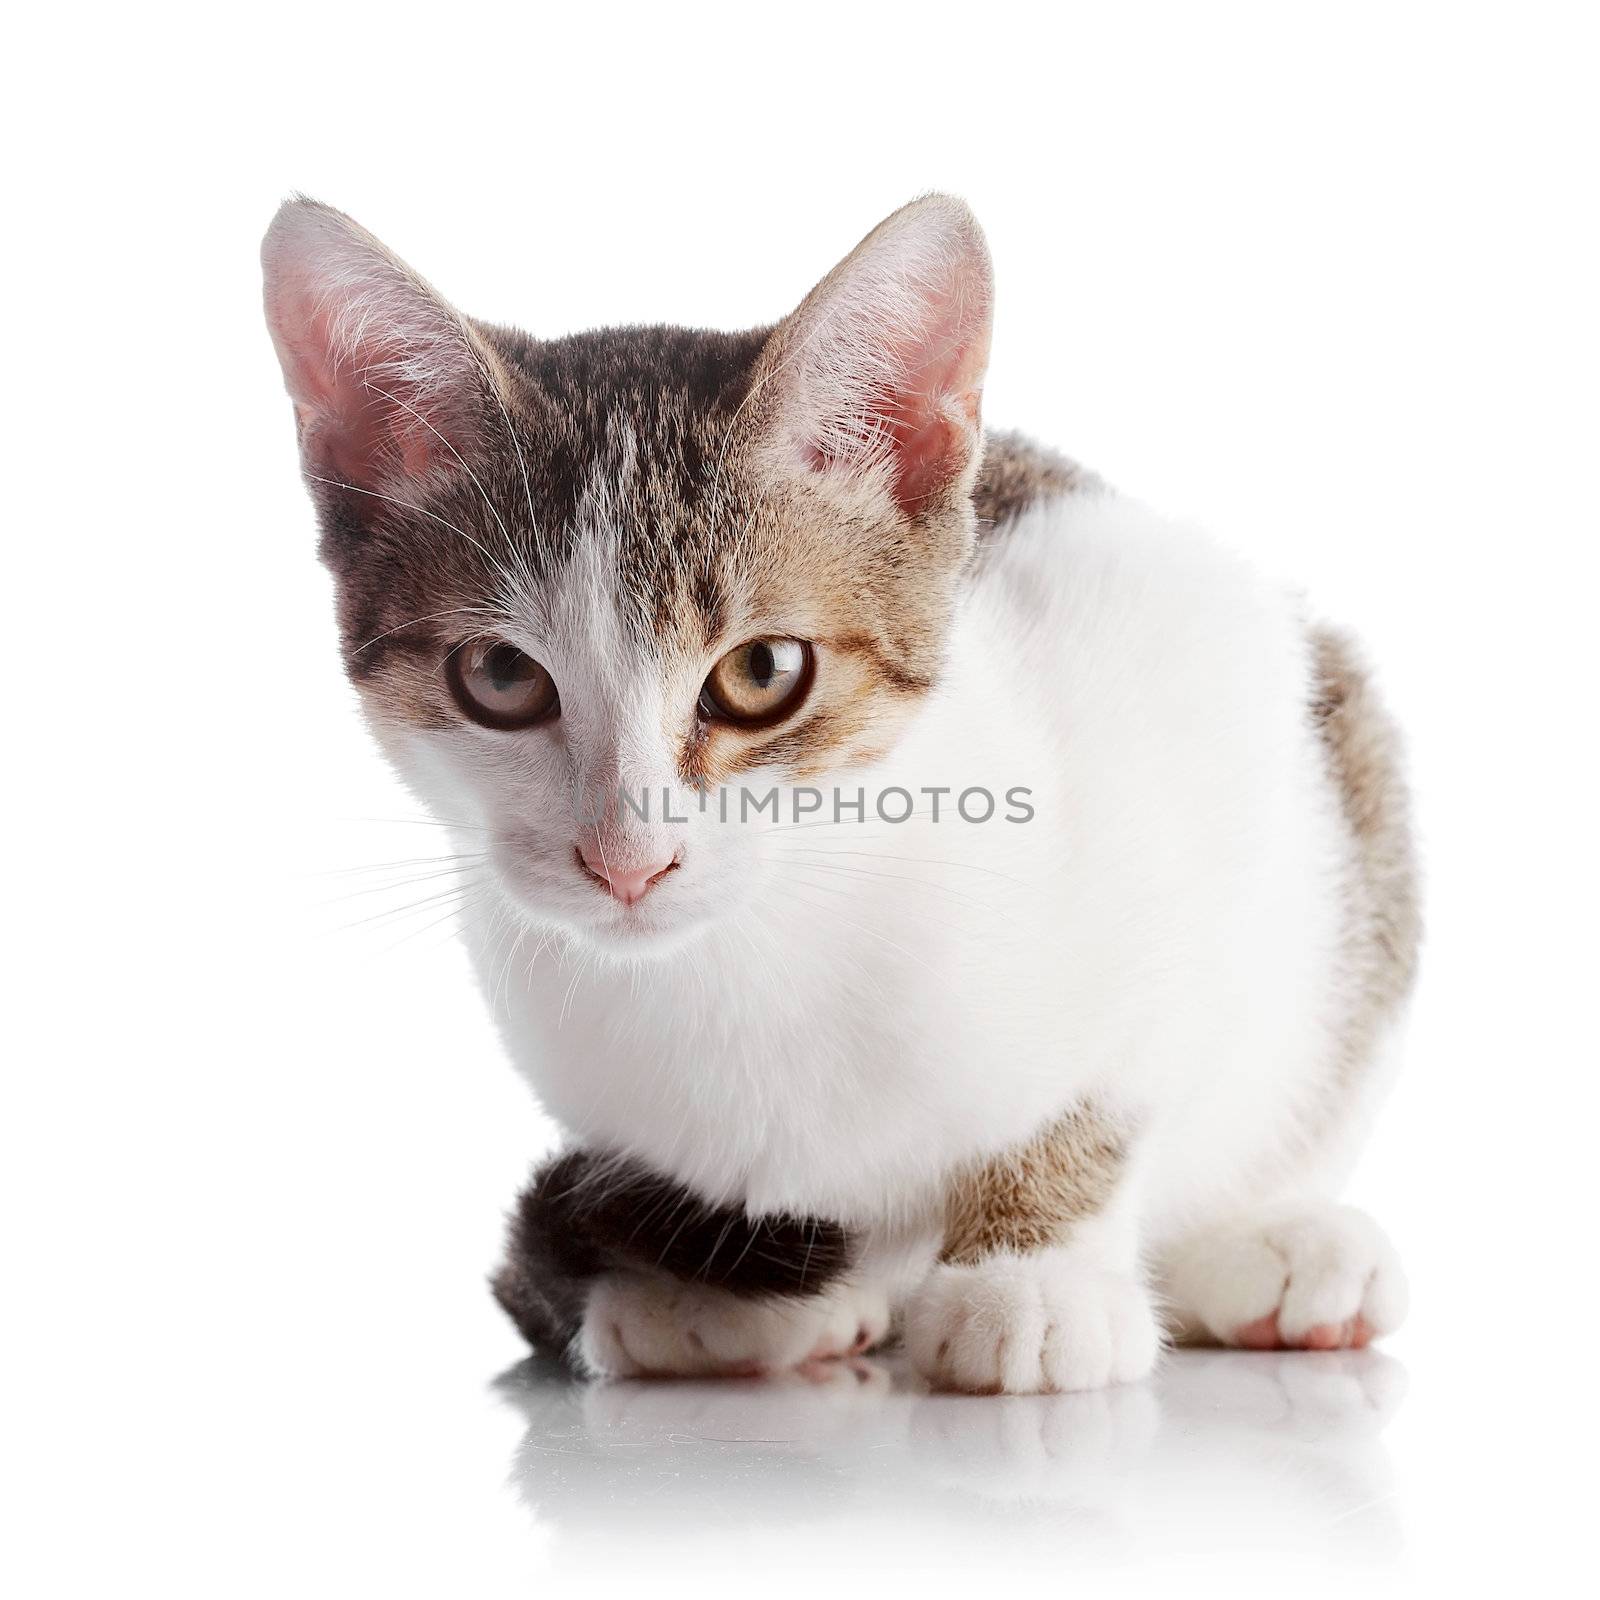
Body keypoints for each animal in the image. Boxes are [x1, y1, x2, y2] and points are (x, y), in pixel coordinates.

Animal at [265, 190, 1427, 1388]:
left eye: (762, 673)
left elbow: (1122, 1071)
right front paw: (704, 1278)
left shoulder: (1174, 657)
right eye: (499, 677)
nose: (628, 859)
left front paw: (1030, 1265)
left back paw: (1270, 1251)